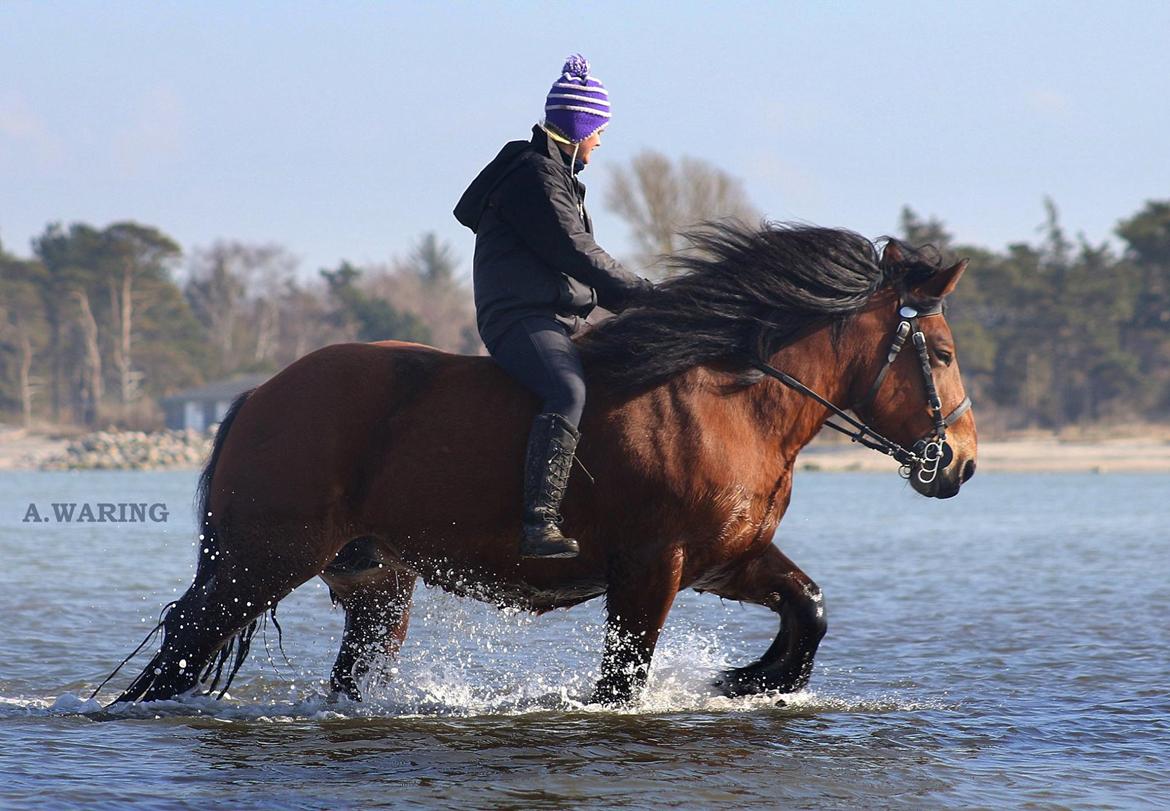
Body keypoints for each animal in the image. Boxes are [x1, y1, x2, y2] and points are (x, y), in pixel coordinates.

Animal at [102, 221, 978, 702]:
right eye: (938, 351)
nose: (962, 463)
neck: (727, 398)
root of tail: (258, 394)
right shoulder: (650, 568)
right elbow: (621, 684)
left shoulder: (727, 558)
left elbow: (810, 607)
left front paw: (748, 680)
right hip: (259, 562)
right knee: (175, 653)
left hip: (375, 583)